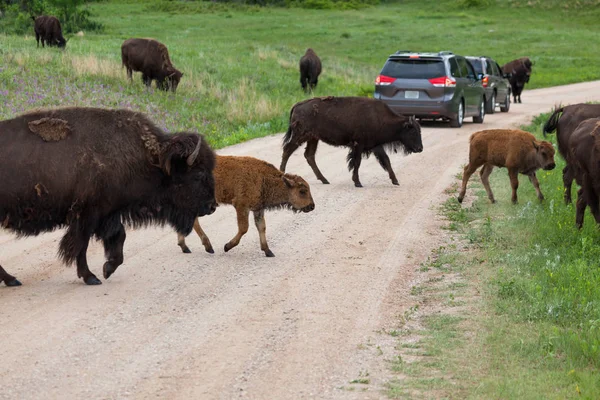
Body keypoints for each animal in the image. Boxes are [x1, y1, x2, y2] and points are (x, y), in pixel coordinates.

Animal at [0, 108, 216, 286]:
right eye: (199, 175)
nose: (212, 206)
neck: (152, 160)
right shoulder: (89, 215)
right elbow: (82, 245)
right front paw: (92, 277)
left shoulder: (108, 213)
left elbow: (118, 237)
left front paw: (107, 269)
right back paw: (12, 280)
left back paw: (11, 280)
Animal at [176, 155, 314, 258]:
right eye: (302, 191)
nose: (312, 206)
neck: (263, 178)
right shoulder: (241, 206)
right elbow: (244, 228)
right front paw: (227, 247)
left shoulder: (258, 209)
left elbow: (261, 227)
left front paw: (268, 251)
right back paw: (207, 247)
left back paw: (186, 247)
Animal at [280, 95, 424, 188]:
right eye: (413, 131)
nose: (420, 148)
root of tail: (297, 105)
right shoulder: (359, 145)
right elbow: (357, 162)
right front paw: (357, 182)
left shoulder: (375, 146)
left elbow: (386, 161)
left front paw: (395, 181)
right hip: (301, 136)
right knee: (287, 150)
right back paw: (282, 175)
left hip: (313, 138)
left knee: (309, 155)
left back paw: (324, 180)